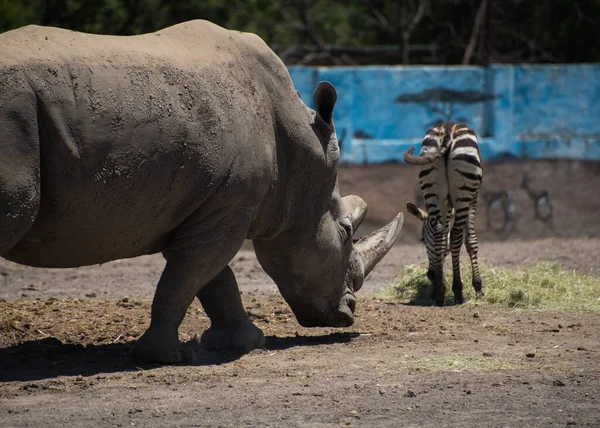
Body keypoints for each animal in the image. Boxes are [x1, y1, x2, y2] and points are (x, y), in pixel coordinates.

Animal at [1, 19, 404, 362]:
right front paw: (165, 356)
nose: (349, 314)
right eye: (346, 231)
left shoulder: (211, 204)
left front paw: (244, 341)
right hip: (15, 116)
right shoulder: (231, 204)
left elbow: (212, 277)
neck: (300, 155)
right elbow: (191, 274)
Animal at [404, 122, 482, 306]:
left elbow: (442, 239)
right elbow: (470, 241)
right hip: (464, 190)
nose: (430, 275)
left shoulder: (446, 204)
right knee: (455, 236)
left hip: (431, 184)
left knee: (439, 232)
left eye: (422, 239)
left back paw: (440, 292)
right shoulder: (473, 199)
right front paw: (477, 287)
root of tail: (447, 128)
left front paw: (438, 286)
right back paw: (458, 291)